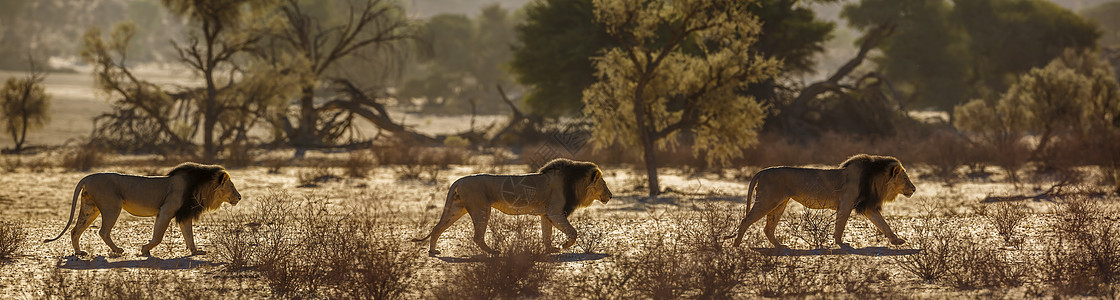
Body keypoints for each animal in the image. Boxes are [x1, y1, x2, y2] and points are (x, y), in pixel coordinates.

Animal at [44, 163, 241, 256]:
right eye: (232, 186)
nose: (239, 197)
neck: (201, 187)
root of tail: (88, 176)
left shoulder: (184, 214)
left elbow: (189, 235)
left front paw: (195, 252)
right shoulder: (166, 210)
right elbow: (158, 236)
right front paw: (145, 249)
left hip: (89, 208)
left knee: (75, 230)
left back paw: (79, 252)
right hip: (112, 206)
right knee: (103, 231)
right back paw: (118, 250)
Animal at [416, 157, 618, 254]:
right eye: (604, 183)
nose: (611, 195)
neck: (576, 183)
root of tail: (458, 180)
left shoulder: (547, 214)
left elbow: (547, 235)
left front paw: (551, 249)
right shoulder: (555, 211)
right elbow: (573, 233)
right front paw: (563, 245)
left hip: (456, 208)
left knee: (437, 228)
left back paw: (433, 250)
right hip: (481, 209)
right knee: (477, 237)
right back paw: (493, 252)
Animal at [725, 154, 918, 248]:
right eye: (905, 178)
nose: (914, 189)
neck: (876, 180)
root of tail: (762, 171)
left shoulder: (868, 207)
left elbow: (884, 224)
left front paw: (897, 241)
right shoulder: (847, 203)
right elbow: (840, 225)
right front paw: (840, 243)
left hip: (779, 203)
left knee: (767, 229)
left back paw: (780, 246)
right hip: (767, 201)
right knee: (745, 221)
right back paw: (736, 245)